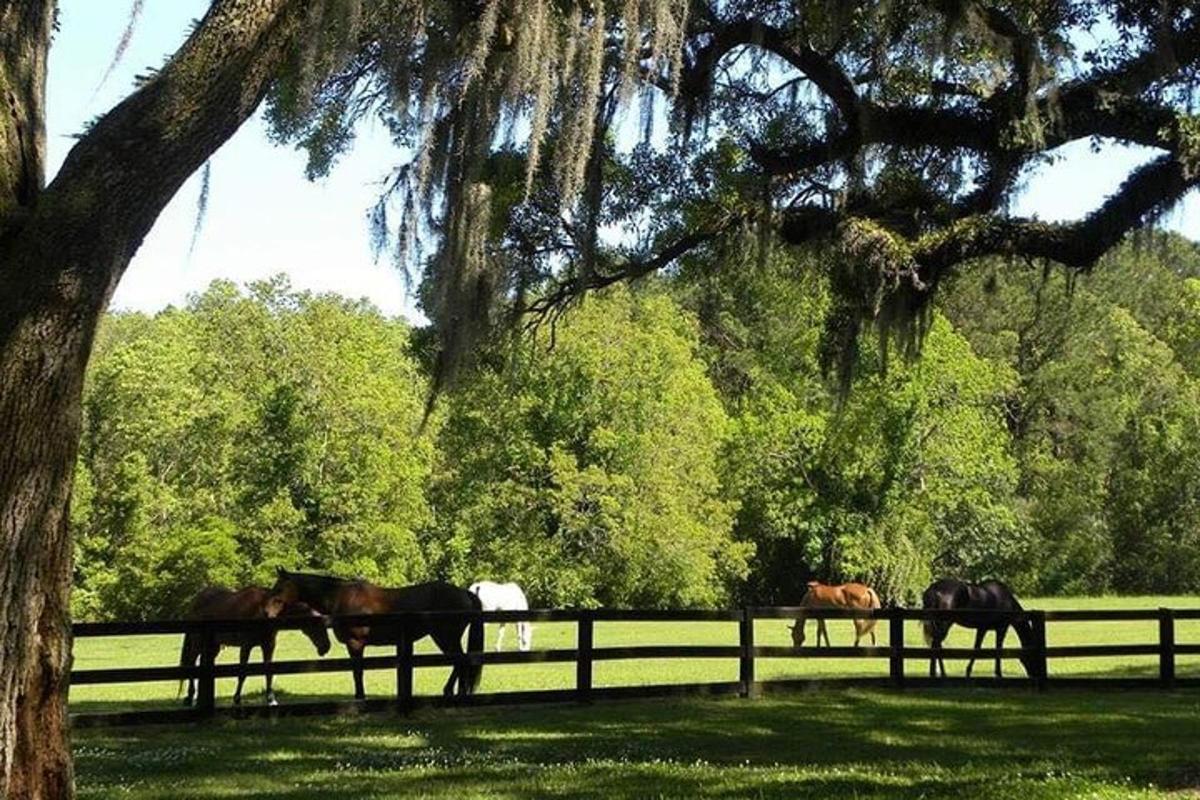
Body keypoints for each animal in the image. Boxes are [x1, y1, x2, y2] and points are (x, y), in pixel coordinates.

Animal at [177, 587, 331, 705]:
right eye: (317, 625)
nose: (326, 647)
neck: (263, 610)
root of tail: (194, 602)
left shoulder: (269, 646)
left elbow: (269, 673)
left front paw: (271, 699)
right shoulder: (246, 646)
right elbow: (242, 673)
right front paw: (237, 698)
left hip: (213, 647)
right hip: (197, 643)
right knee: (191, 663)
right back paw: (190, 697)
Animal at [270, 568, 484, 700]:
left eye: (279, 588)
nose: (269, 614)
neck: (341, 597)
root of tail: (465, 593)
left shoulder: (355, 643)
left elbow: (358, 672)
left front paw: (360, 697)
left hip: (445, 637)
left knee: (461, 661)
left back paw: (451, 692)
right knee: (460, 662)